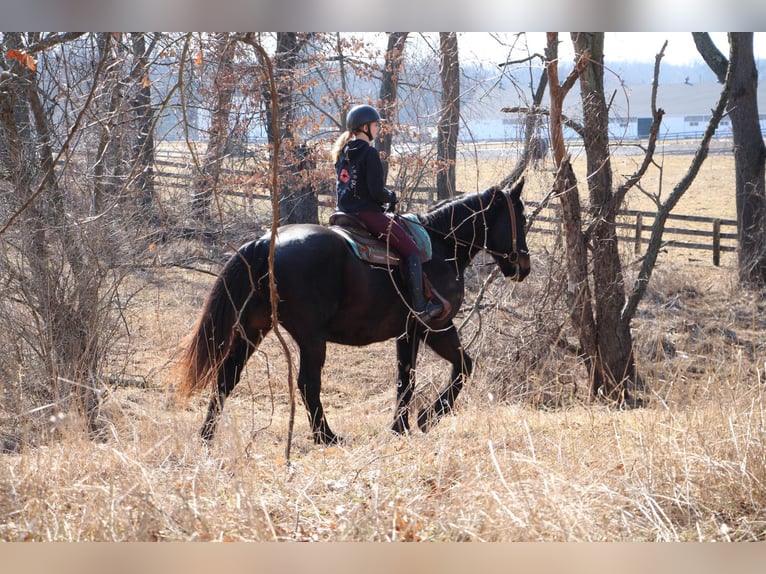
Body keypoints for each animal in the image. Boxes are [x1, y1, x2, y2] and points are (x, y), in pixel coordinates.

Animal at [177, 180, 532, 446]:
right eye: (522, 217)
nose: (524, 267)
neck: (442, 246)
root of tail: (265, 243)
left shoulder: (422, 331)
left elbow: (438, 371)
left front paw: (406, 424)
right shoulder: (432, 327)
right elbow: (430, 374)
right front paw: (423, 419)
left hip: (252, 328)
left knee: (226, 378)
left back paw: (207, 436)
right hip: (310, 338)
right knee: (307, 384)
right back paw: (326, 437)